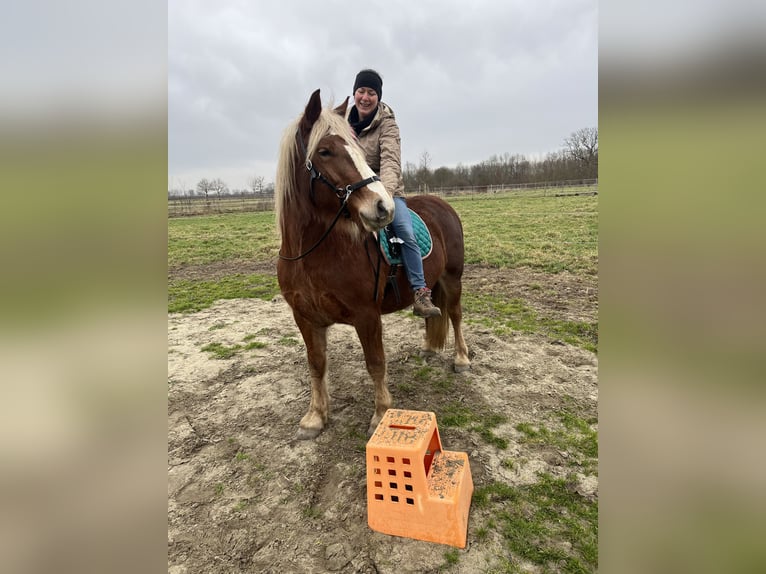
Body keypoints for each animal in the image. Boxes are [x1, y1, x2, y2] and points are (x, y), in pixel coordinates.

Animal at [275, 89, 470, 440]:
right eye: (324, 151)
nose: (383, 207)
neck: (312, 253)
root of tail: (442, 205)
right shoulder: (305, 318)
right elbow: (316, 363)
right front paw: (315, 417)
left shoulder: (367, 315)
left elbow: (375, 362)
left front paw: (380, 415)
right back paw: (429, 348)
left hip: (452, 278)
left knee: (457, 315)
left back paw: (461, 359)